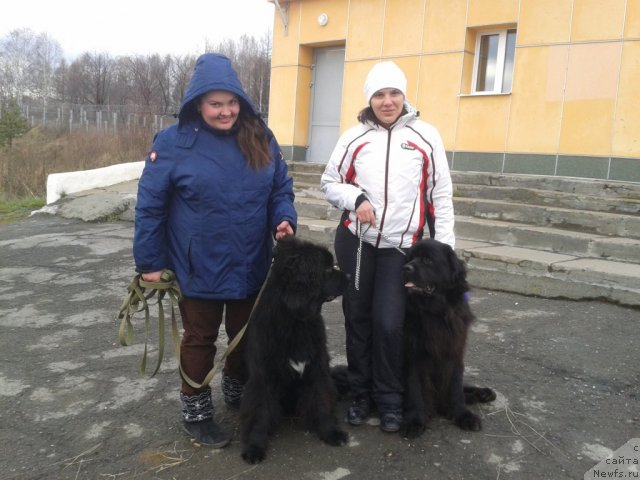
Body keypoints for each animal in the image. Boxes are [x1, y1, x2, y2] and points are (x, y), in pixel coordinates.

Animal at [240, 238, 350, 464]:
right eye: (327, 269)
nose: (350, 276)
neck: (295, 321)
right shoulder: (262, 377)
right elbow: (259, 412)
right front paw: (255, 446)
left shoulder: (317, 367)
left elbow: (321, 399)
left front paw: (331, 432)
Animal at [400, 238, 496, 436]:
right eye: (410, 258)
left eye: (427, 260)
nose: (405, 268)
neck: (435, 314)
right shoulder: (412, 356)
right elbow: (414, 389)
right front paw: (414, 421)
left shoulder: (454, 353)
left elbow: (456, 387)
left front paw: (463, 415)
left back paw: (483, 393)